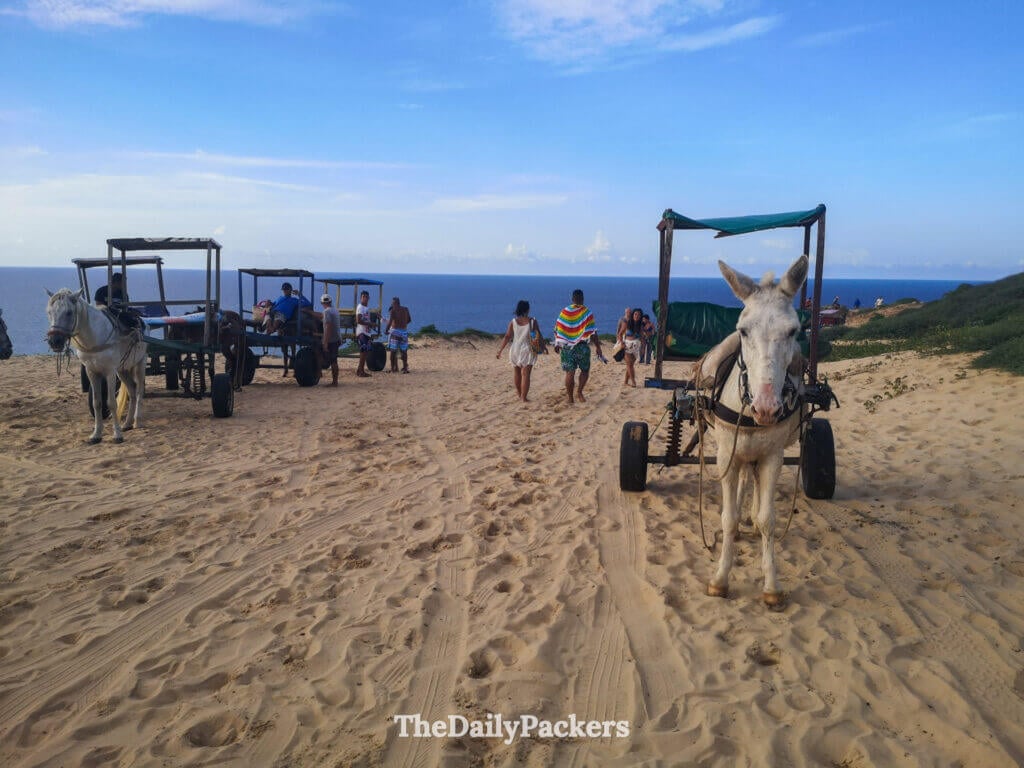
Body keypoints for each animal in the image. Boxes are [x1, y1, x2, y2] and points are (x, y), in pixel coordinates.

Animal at [45, 288, 147, 444]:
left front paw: (117, 435)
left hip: (139, 364)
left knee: (140, 391)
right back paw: (128, 423)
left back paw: (137, 421)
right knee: (132, 391)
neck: (95, 338)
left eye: (69, 312)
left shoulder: (110, 372)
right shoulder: (92, 372)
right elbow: (97, 402)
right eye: (49, 312)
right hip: (122, 370)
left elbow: (111, 403)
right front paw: (96, 434)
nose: (54, 341)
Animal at [694, 254, 809, 608]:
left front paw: (771, 585)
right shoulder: (726, 457)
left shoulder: (772, 457)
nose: (766, 408)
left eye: (794, 331)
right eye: (743, 331)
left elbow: (768, 519)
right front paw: (720, 579)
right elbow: (728, 518)